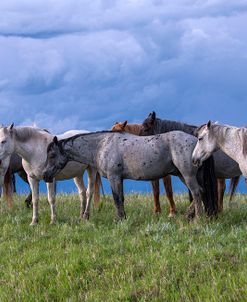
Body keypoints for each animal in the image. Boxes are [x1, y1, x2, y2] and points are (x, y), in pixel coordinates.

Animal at [43, 131, 217, 221]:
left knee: (196, 192)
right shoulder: (119, 178)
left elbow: (117, 199)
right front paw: (123, 217)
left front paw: (119, 219)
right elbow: (121, 198)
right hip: (184, 174)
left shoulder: (114, 177)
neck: (101, 146)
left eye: (52, 155)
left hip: (187, 174)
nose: (45, 175)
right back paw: (189, 214)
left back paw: (197, 218)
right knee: (201, 191)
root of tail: (196, 141)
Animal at [112, 120, 241, 215]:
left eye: (146, 128)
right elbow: (156, 192)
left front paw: (173, 212)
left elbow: (168, 191)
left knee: (219, 189)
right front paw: (157, 212)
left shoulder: (168, 175)